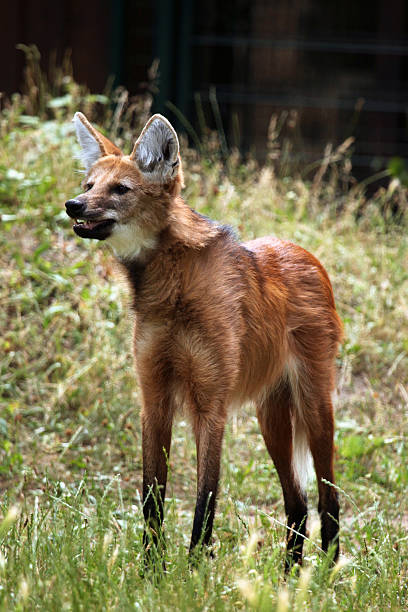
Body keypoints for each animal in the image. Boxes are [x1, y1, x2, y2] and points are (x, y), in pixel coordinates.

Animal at [65, 112, 342, 572]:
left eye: (120, 189)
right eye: (89, 185)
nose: (73, 204)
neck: (170, 289)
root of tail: (306, 254)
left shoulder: (210, 404)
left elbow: (205, 497)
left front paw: (193, 572)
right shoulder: (154, 396)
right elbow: (152, 496)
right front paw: (151, 571)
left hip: (314, 406)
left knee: (328, 498)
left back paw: (329, 576)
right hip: (271, 419)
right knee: (298, 502)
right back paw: (289, 577)